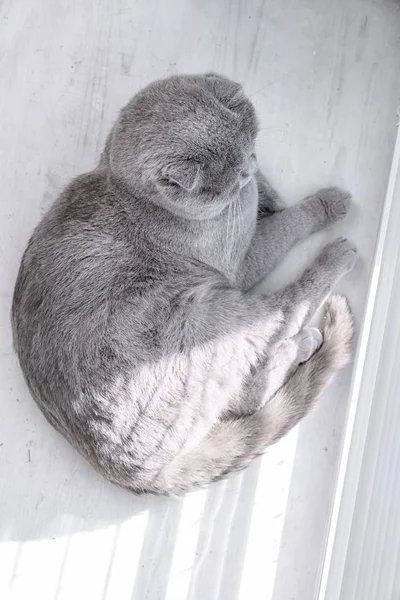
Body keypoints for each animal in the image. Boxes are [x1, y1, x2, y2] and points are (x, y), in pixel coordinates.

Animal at [11, 72, 356, 494]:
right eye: (228, 180)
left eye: (247, 153)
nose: (247, 170)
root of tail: (134, 472)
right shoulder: (242, 262)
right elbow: (290, 224)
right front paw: (323, 204)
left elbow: (272, 196)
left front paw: (272, 195)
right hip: (211, 316)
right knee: (282, 320)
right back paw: (323, 291)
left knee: (240, 395)